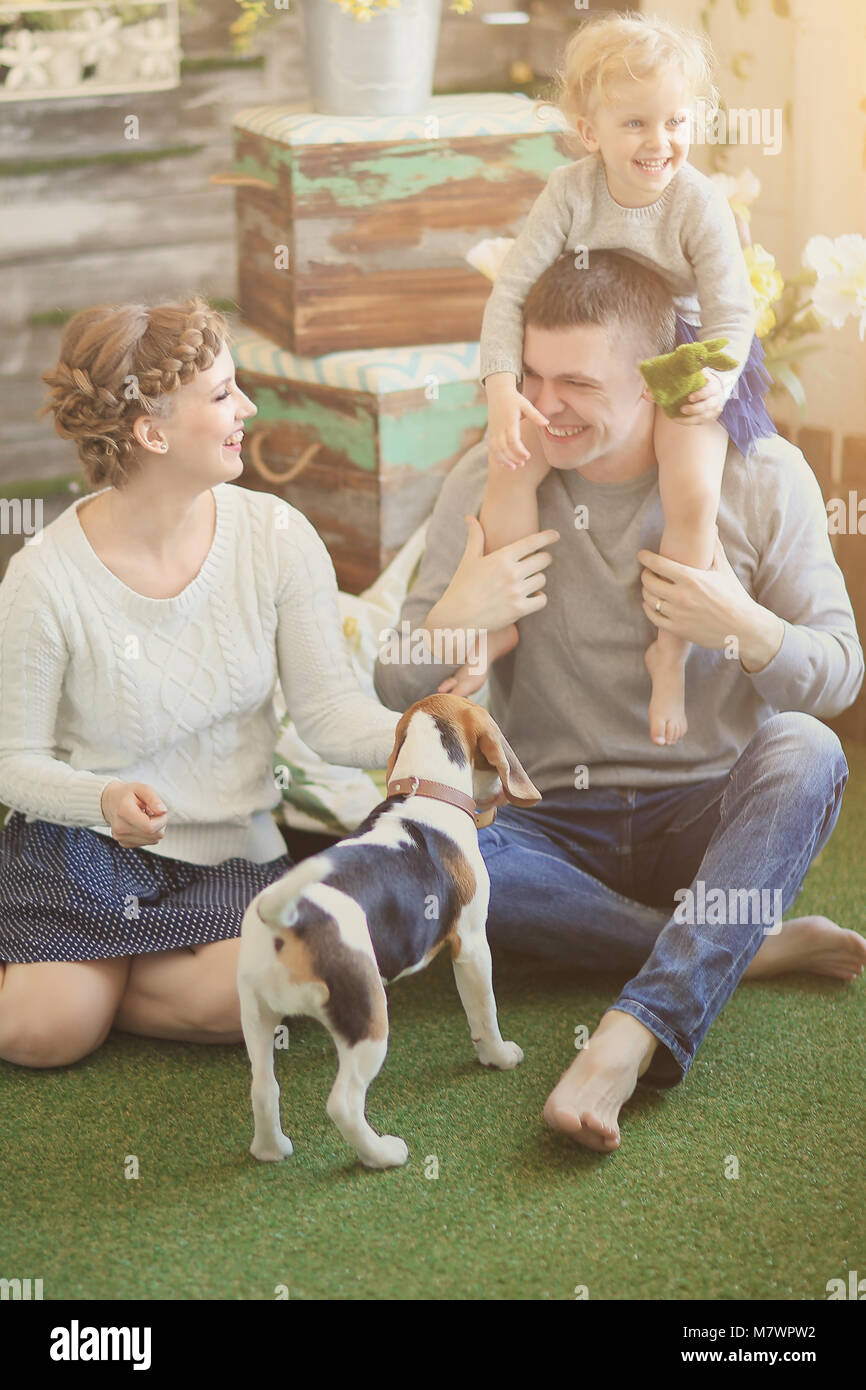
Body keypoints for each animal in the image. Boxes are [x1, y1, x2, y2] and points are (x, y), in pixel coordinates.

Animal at [237, 695, 542, 1173]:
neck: (426, 789)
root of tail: (286, 916)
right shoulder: (473, 945)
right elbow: (484, 1013)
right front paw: (498, 1056)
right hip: (368, 1030)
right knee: (343, 1104)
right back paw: (381, 1154)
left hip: (256, 1014)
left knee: (264, 1088)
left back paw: (271, 1149)